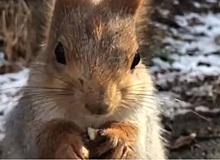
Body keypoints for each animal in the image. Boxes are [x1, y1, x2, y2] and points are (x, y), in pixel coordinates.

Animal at [2, 0, 167, 158]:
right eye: (59, 52)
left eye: (136, 58)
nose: (99, 106)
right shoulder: (30, 117)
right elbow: (45, 136)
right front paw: (69, 144)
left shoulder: (140, 113)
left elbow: (136, 136)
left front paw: (118, 141)